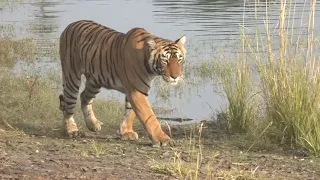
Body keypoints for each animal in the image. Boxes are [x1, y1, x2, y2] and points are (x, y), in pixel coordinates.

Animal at [58, 20, 186, 146]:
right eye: (165, 60)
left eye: (179, 59)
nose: (176, 77)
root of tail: (70, 25)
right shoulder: (137, 91)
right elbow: (149, 116)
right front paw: (163, 139)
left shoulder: (136, 90)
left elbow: (130, 113)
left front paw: (127, 132)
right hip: (72, 76)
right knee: (69, 104)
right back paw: (71, 129)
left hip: (95, 81)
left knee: (84, 97)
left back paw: (93, 124)